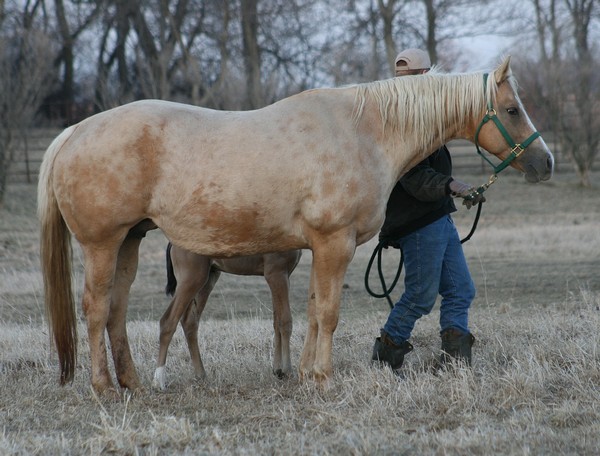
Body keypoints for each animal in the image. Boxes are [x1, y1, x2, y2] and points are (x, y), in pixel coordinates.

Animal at [152, 242, 302, 388]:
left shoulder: (282, 276)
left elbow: (277, 321)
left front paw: (278, 370)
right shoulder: (276, 273)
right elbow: (286, 321)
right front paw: (288, 371)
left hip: (209, 277)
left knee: (190, 321)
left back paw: (201, 375)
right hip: (191, 279)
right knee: (168, 320)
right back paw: (158, 381)